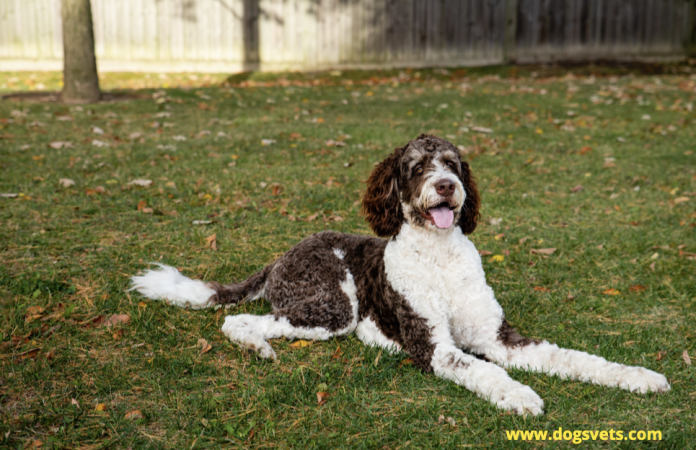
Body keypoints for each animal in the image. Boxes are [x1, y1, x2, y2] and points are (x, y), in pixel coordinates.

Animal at [130, 133, 668, 414]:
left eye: (452, 163)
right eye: (415, 168)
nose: (447, 186)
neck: (441, 259)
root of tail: (283, 254)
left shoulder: (500, 337)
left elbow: (575, 358)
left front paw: (636, 376)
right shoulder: (434, 346)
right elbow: (483, 370)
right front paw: (519, 394)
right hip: (333, 308)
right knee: (242, 320)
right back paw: (258, 347)